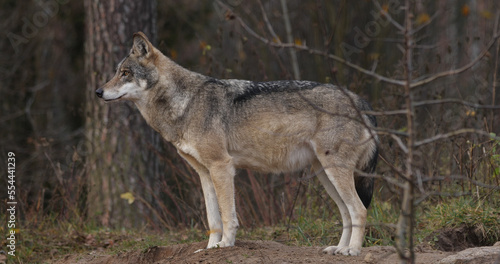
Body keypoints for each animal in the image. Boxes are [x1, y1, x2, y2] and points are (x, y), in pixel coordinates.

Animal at [96, 31, 378, 256]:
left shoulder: (222, 167)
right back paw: (339, 248)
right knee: (347, 213)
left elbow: (227, 215)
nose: (98, 92)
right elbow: (213, 219)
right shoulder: (204, 173)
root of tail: (361, 101)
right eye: (115, 73)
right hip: (324, 174)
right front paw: (209, 248)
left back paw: (352, 250)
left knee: (359, 210)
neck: (185, 104)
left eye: (125, 73)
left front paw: (226, 245)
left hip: (335, 172)